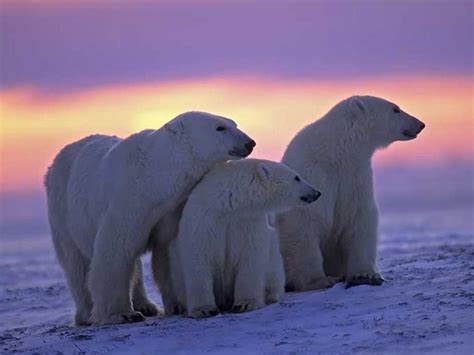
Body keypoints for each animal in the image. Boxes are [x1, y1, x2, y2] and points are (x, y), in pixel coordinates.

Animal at [43, 111, 256, 326]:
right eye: (220, 127)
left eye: (234, 123)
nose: (250, 143)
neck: (153, 179)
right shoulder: (127, 202)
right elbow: (114, 250)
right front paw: (123, 314)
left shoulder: (170, 209)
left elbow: (167, 252)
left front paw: (178, 305)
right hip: (64, 213)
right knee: (76, 263)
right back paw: (87, 315)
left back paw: (146, 305)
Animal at [168, 160, 322, 318]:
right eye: (297, 177)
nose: (316, 193)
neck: (228, 205)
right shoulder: (204, 221)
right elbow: (198, 259)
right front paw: (204, 309)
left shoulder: (247, 222)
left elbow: (250, 258)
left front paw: (245, 304)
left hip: (273, 253)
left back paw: (271, 296)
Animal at [276, 96, 424, 292]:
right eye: (395, 109)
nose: (420, 124)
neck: (336, 154)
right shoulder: (314, 175)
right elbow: (305, 222)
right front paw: (319, 280)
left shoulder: (355, 177)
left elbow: (359, 218)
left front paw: (365, 275)